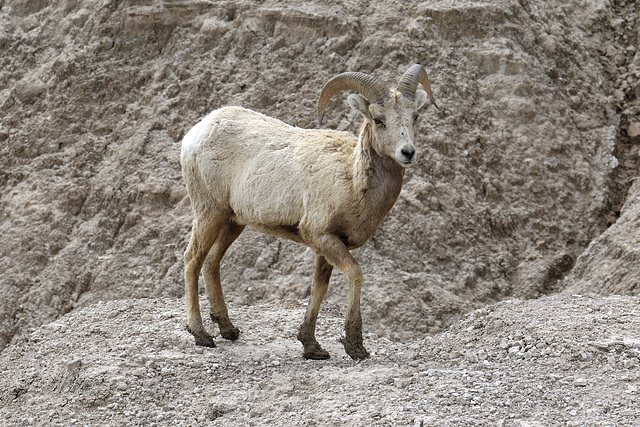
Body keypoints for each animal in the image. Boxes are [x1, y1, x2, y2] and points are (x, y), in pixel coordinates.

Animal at [182, 65, 438, 360]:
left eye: (415, 116)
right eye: (378, 119)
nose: (407, 152)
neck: (352, 180)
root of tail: (195, 134)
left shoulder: (326, 246)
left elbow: (319, 287)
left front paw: (311, 346)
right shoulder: (322, 237)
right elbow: (355, 274)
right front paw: (355, 346)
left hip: (233, 221)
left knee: (212, 262)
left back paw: (228, 330)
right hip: (209, 212)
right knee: (193, 260)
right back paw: (201, 335)